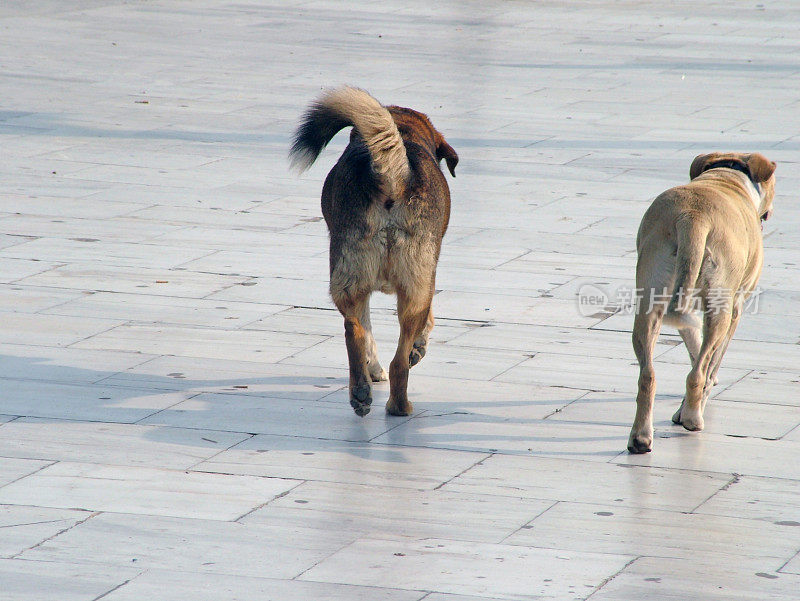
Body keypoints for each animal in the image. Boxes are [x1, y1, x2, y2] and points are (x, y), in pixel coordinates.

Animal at [290, 85, 460, 418]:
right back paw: (399, 404)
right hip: (415, 285)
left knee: (355, 331)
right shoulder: (429, 278)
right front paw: (420, 346)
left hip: (349, 276)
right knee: (398, 357)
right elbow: (430, 320)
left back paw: (362, 391)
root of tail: (393, 177)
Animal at [628, 152, 780, 452]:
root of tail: (693, 217)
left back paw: (641, 436)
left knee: (648, 374)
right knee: (698, 374)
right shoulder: (735, 310)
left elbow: (694, 344)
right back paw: (692, 417)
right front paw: (692, 402)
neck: (727, 176)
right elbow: (711, 362)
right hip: (720, 307)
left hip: (650, 299)